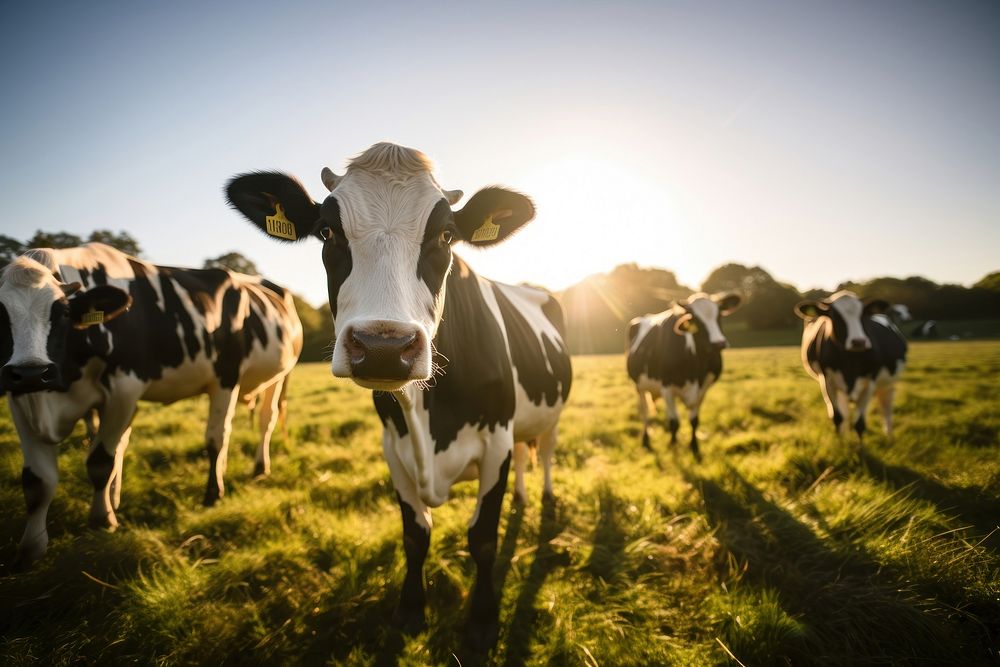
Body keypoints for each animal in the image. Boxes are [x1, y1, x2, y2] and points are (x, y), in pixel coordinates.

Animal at [0, 243, 304, 568]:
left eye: (64, 312)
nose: (31, 371)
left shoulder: (124, 389)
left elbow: (100, 461)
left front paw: (102, 520)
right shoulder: (21, 400)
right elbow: (38, 481)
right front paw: (31, 549)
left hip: (258, 377)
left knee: (245, 427)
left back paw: (247, 474)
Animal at [227, 142, 572, 652]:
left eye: (446, 236)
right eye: (327, 231)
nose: (383, 346)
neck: (430, 422)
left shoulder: (496, 443)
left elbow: (483, 538)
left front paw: (483, 621)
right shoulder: (395, 447)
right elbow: (416, 534)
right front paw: (410, 610)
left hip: (548, 417)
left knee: (543, 452)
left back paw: (544, 499)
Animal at [624, 294, 744, 460]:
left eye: (719, 315)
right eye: (696, 319)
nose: (719, 343)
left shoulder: (703, 389)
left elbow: (694, 421)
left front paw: (694, 446)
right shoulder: (667, 387)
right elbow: (674, 422)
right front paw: (673, 445)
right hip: (639, 386)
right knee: (645, 412)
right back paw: (645, 440)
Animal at [796, 290, 908, 438]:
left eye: (863, 315)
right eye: (835, 316)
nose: (858, 342)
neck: (850, 362)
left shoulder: (870, 382)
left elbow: (859, 424)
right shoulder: (827, 381)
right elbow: (838, 418)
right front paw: (841, 442)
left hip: (888, 383)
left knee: (887, 408)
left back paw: (889, 436)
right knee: (845, 412)